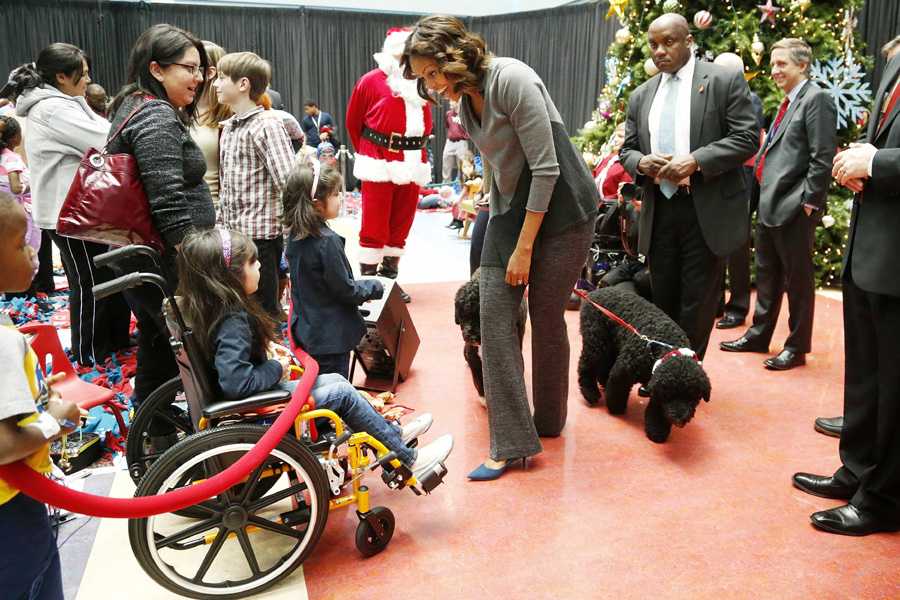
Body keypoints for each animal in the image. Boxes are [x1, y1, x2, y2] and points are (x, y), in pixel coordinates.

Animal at [580, 286, 712, 446]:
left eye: (693, 397)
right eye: (670, 395)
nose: (679, 419)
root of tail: (595, 292)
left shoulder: (657, 389)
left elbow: (657, 411)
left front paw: (657, 431)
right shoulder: (623, 373)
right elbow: (616, 391)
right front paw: (615, 407)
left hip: (611, 345)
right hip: (596, 342)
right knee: (586, 366)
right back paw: (590, 393)